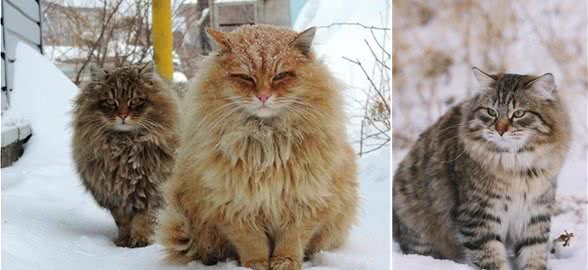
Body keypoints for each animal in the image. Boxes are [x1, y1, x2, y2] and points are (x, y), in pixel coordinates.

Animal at [72, 62, 177, 247]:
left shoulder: (152, 191)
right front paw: (123, 241)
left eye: (134, 101)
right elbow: (123, 221)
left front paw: (141, 240)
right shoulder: (116, 195)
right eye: (110, 101)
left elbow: (145, 219)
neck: (125, 145)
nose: (122, 115)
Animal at [157, 25, 358, 270]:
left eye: (280, 76)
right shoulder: (234, 208)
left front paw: (285, 262)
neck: (266, 142)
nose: (263, 96)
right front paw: (257, 264)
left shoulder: (304, 202)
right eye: (245, 77)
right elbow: (253, 244)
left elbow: (291, 241)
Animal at [396, 68, 568, 270]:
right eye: (491, 112)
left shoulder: (535, 213)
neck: (518, 168)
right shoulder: (479, 215)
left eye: (519, 113)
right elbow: (491, 259)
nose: (500, 130)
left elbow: (534, 254)